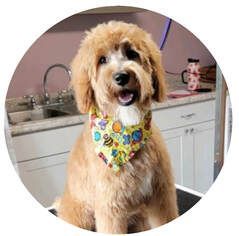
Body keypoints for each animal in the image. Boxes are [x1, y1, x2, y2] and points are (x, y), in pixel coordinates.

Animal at [57, 20, 177, 234]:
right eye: (102, 60)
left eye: (132, 54)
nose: (121, 76)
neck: (126, 131)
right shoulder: (110, 206)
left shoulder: (161, 193)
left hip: (140, 218)